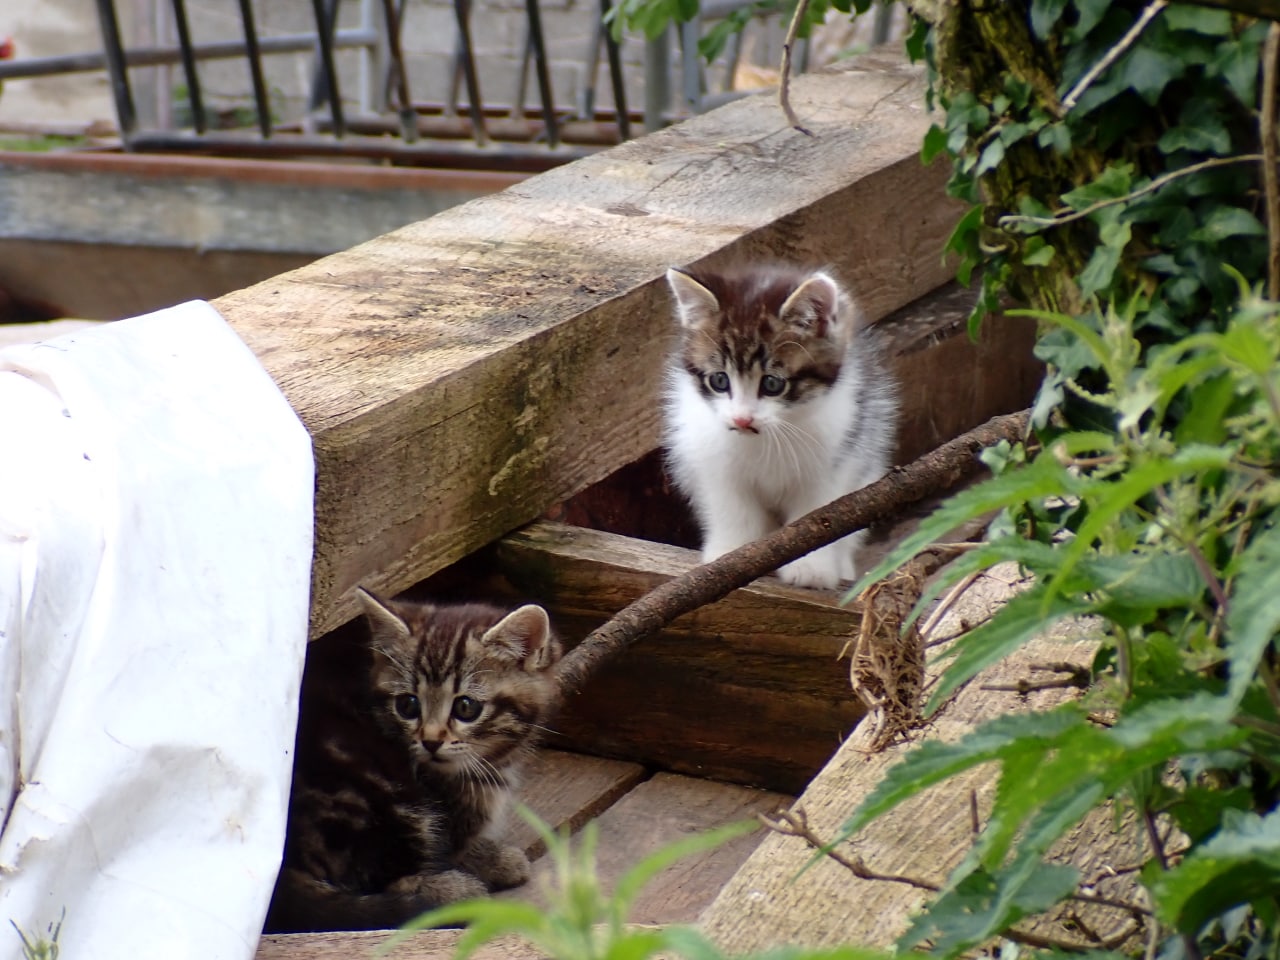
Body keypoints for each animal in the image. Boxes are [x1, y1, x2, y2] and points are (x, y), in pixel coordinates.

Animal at [264, 591, 560, 936]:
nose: (430, 741)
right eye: (408, 705)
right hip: (387, 798)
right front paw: (484, 864)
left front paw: (493, 857)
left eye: (466, 707)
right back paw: (454, 893)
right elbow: (454, 846)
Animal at [665, 264, 896, 593]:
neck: (768, 436)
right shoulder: (709, 458)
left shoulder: (836, 458)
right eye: (719, 380)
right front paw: (729, 556)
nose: (742, 420)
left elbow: (820, 514)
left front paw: (811, 568)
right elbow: (731, 506)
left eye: (773, 384)